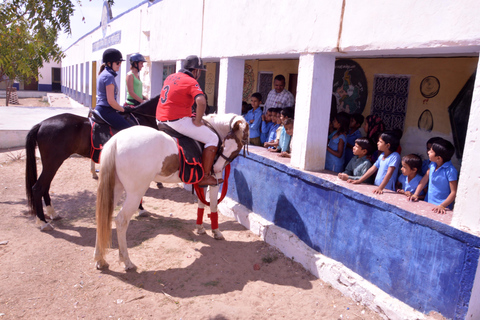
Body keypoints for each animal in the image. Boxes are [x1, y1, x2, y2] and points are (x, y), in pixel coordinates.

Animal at [26, 96, 158, 229]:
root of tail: (41, 124)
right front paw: (141, 209)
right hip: (53, 163)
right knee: (38, 188)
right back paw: (43, 222)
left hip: (50, 165)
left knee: (45, 186)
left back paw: (52, 213)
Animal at [94, 114, 248, 272]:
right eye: (224, 145)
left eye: (237, 145)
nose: (216, 167)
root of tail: (116, 140)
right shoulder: (215, 182)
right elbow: (213, 206)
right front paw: (216, 232)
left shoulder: (203, 183)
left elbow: (201, 204)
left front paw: (200, 228)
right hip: (135, 194)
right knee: (121, 221)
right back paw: (127, 262)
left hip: (115, 189)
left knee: (103, 216)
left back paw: (100, 260)